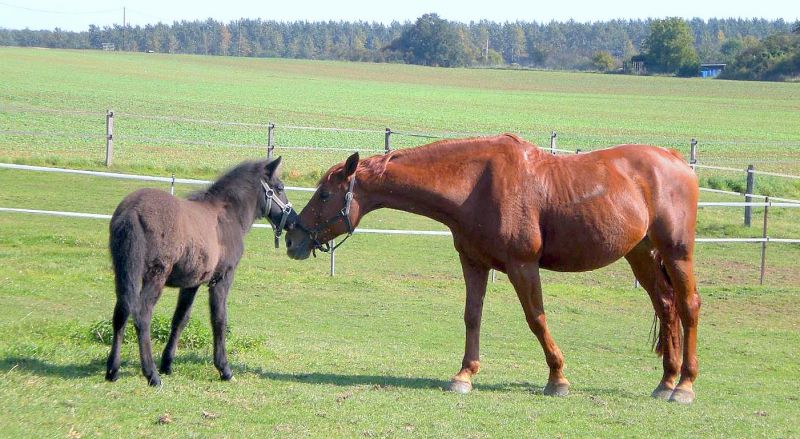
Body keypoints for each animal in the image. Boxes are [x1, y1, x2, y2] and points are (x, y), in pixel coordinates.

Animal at [105, 157, 297, 386]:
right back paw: (151, 374)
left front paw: (167, 364)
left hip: (124, 272)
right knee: (142, 315)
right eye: (280, 188)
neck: (227, 215)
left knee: (121, 311)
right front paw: (224, 368)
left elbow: (180, 319)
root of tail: (132, 211)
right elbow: (219, 319)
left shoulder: (192, 283)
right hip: (155, 276)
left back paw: (113, 370)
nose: (294, 220)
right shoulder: (222, 278)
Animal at [284, 134, 701, 404]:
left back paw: (684, 386)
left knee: (688, 306)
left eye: (325, 194)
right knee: (666, 306)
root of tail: (675, 160)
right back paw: (666, 382)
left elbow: (536, 318)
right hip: (641, 254)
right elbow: (473, 316)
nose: (292, 237)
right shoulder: (474, 263)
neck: (475, 184)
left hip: (677, 253)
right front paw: (464, 375)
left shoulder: (522, 266)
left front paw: (557, 378)